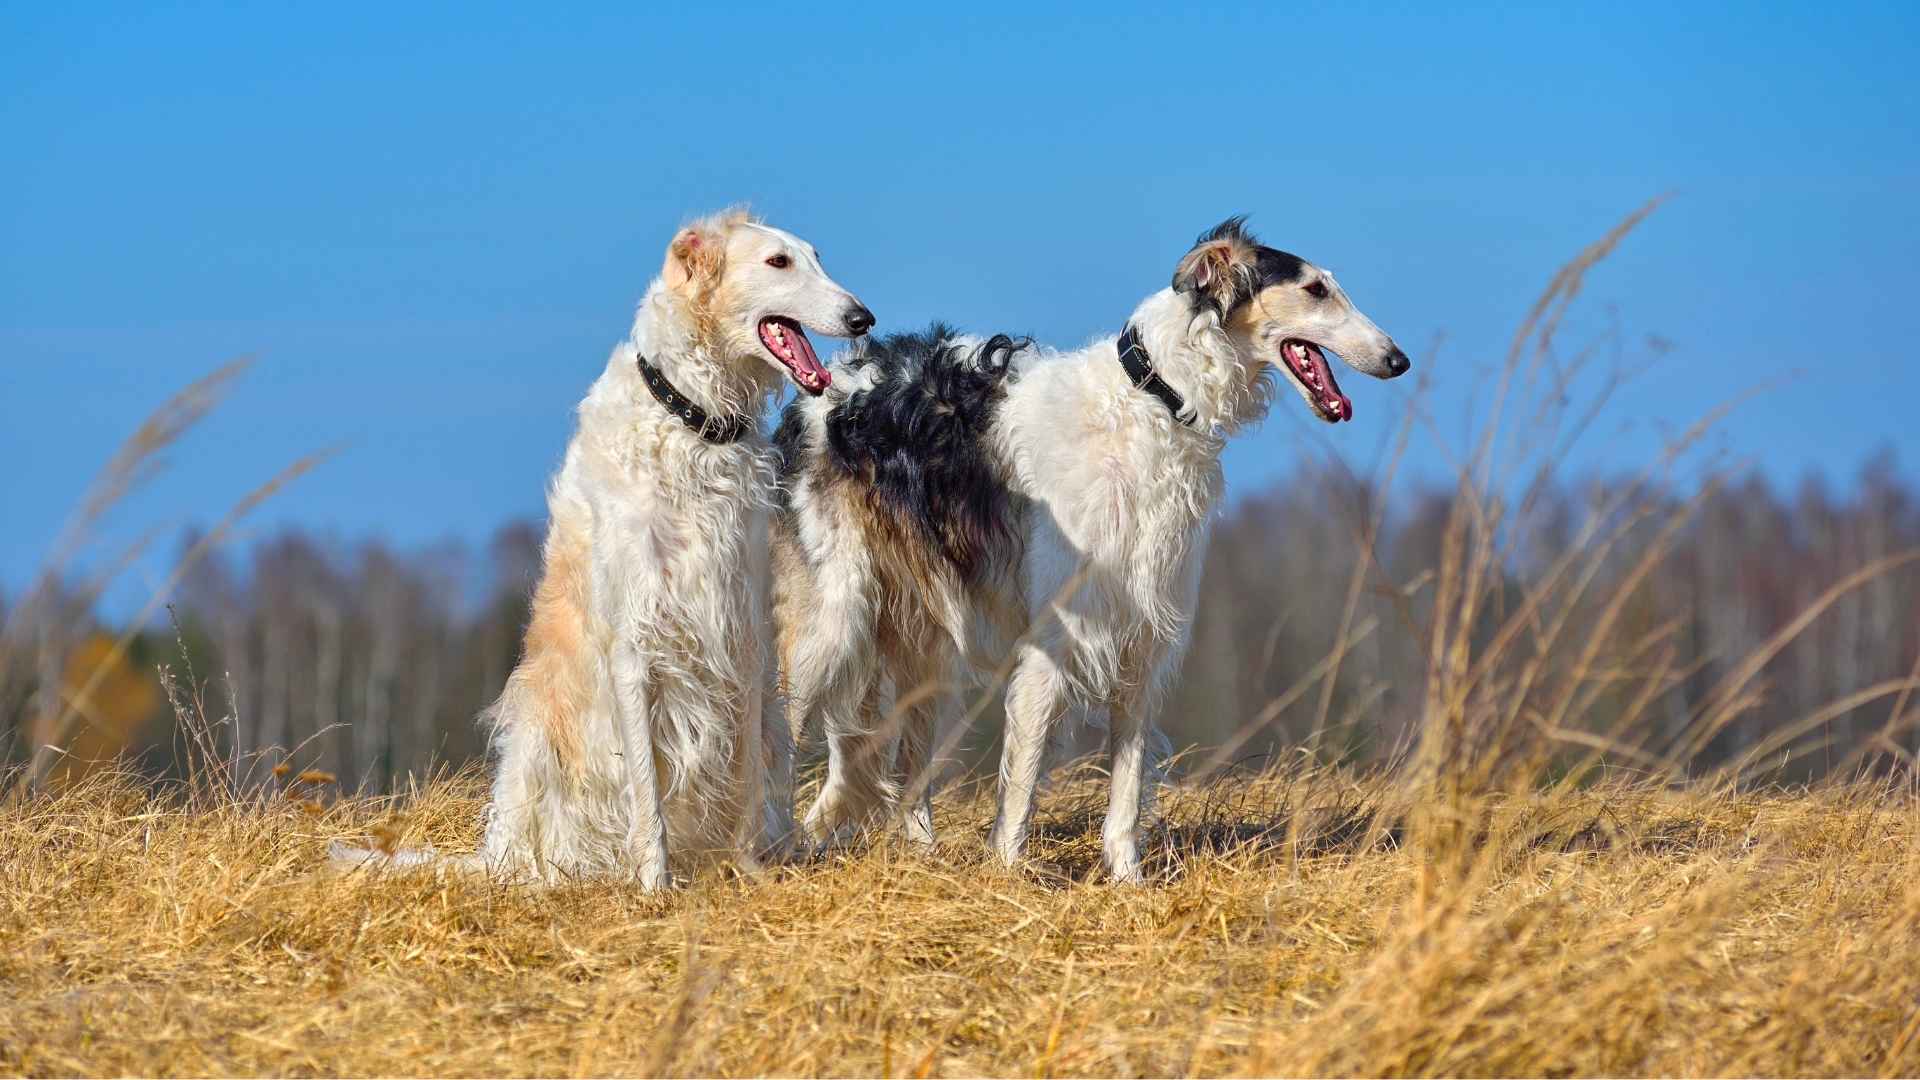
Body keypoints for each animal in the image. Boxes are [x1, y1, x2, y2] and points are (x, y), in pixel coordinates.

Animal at [334, 208, 875, 883]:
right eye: (779, 261)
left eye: (817, 257)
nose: (863, 318)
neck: (692, 421)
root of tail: (490, 854)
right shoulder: (635, 641)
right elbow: (646, 790)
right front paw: (655, 885)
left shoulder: (743, 630)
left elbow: (748, 780)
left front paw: (750, 871)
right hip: (536, 735)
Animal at [771, 214, 1420, 880]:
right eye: (1316, 289)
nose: (1398, 360)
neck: (1155, 397)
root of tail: (821, 387)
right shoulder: (1054, 640)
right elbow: (1022, 778)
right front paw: (1009, 875)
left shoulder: (1144, 636)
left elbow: (1127, 786)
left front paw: (1127, 879)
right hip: (831, 623)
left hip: (924, 646)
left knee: (896, 776)